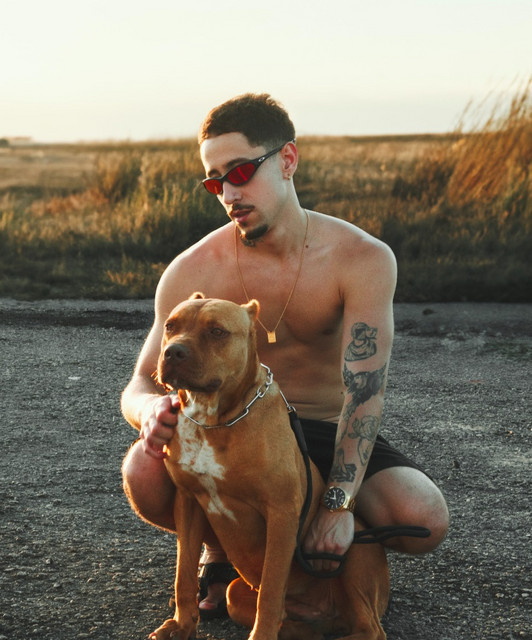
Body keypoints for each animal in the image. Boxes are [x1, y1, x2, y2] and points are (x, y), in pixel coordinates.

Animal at [149, 292, 389, 640]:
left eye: (217, 332)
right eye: (170, 326)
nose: (173, 351)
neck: (215, 420)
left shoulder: (282, 512)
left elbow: (272, 589)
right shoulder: (188, 502)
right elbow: (184, 573)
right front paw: (181, 625)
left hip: (355, 551)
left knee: (370, 628)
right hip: (236, 594)